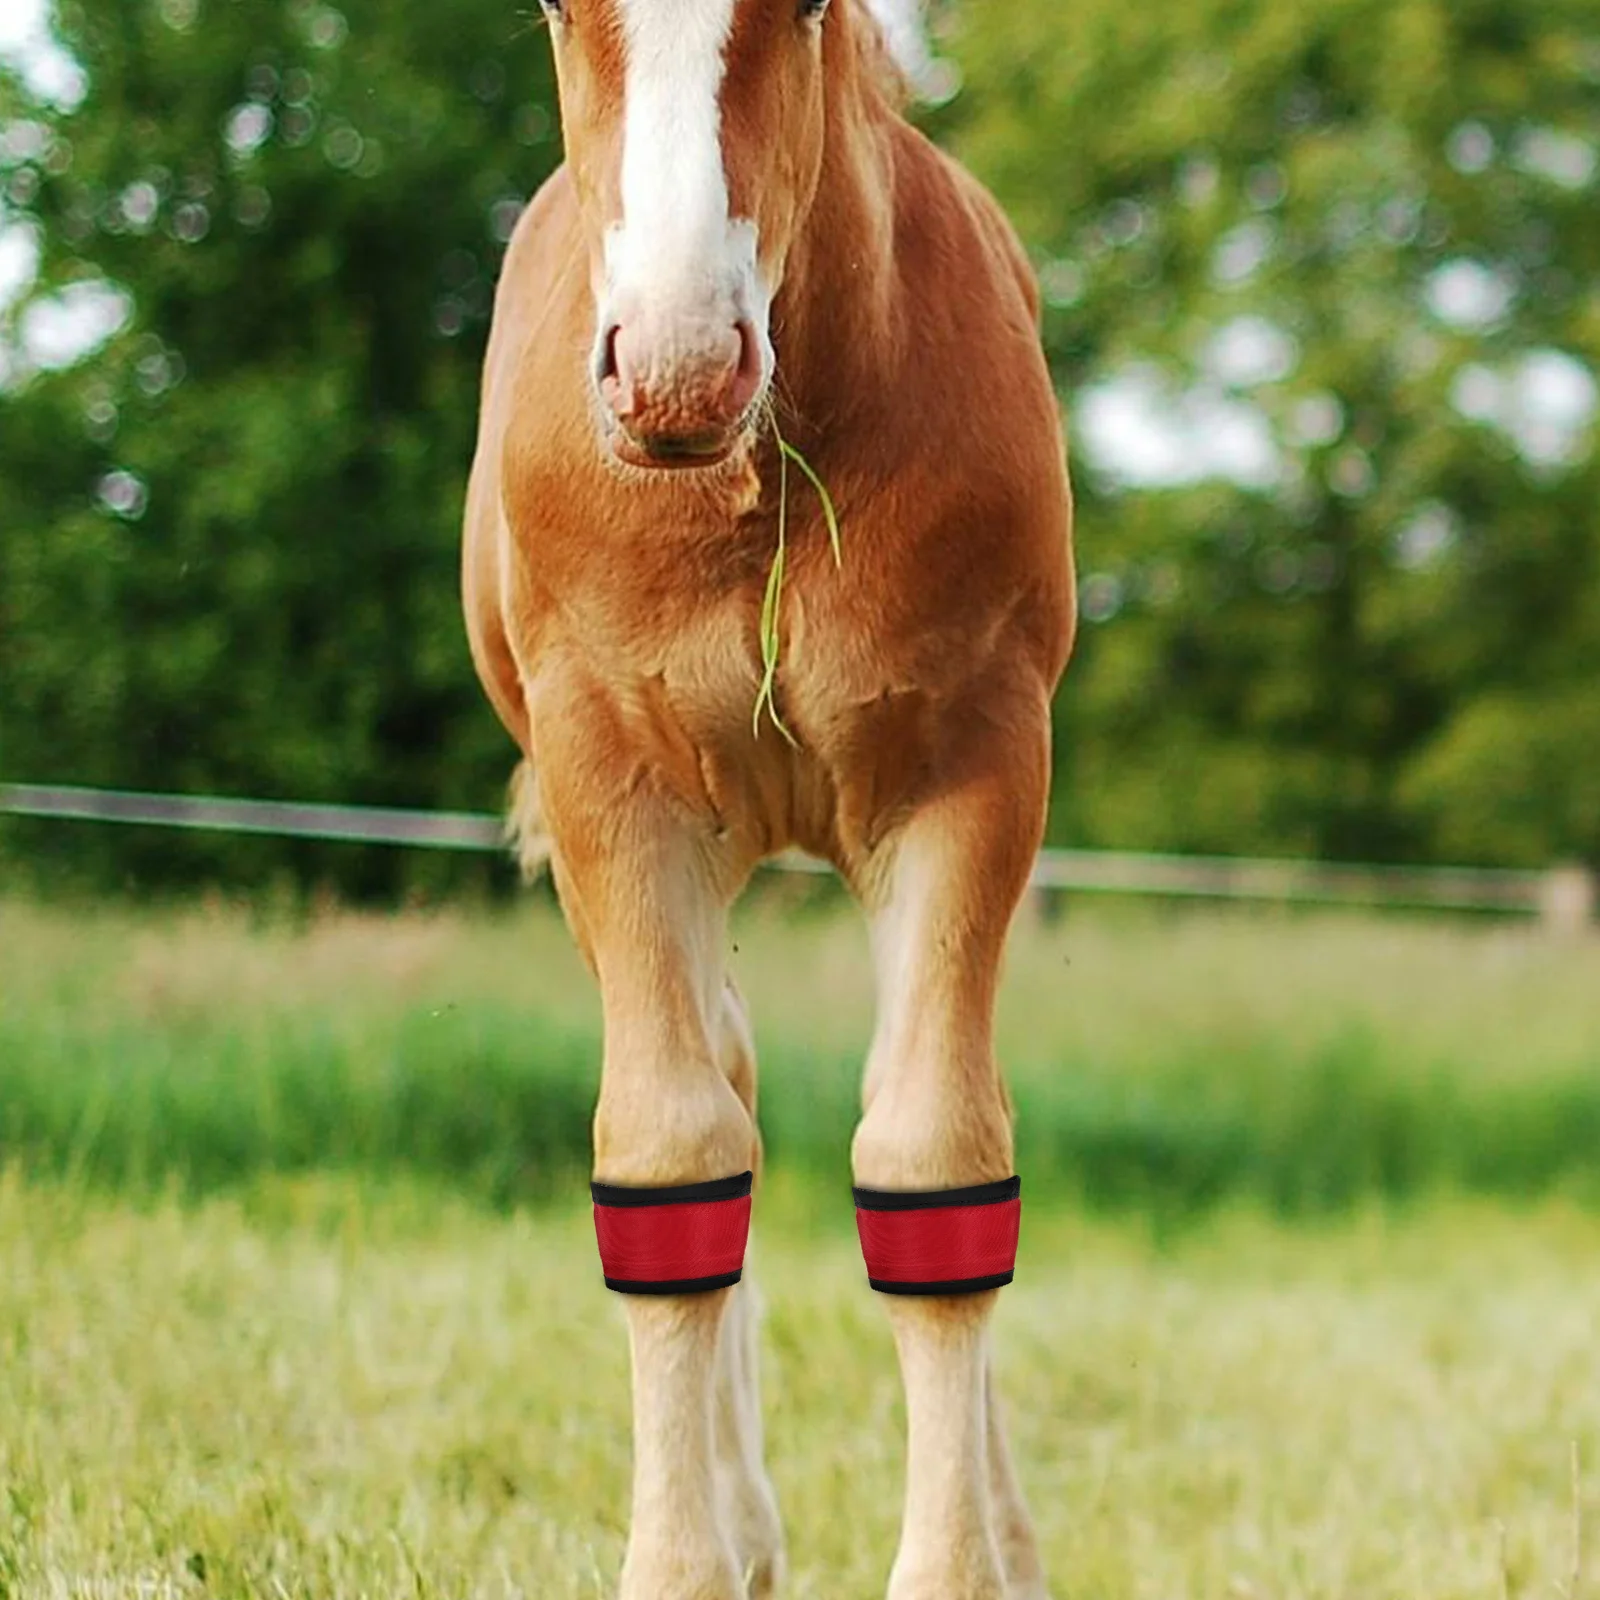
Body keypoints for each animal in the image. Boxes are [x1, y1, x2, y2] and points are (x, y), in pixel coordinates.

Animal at [460, 0, 1075, 1593]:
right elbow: (670, 1153)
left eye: (803, 12)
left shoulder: (972, 768)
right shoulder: (607, 783)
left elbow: (937, 1158)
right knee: (718, 1087)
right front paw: (690, 1555)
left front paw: (967, 1559)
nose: (679, 369)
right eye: (554, 15)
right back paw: (743, 1524)